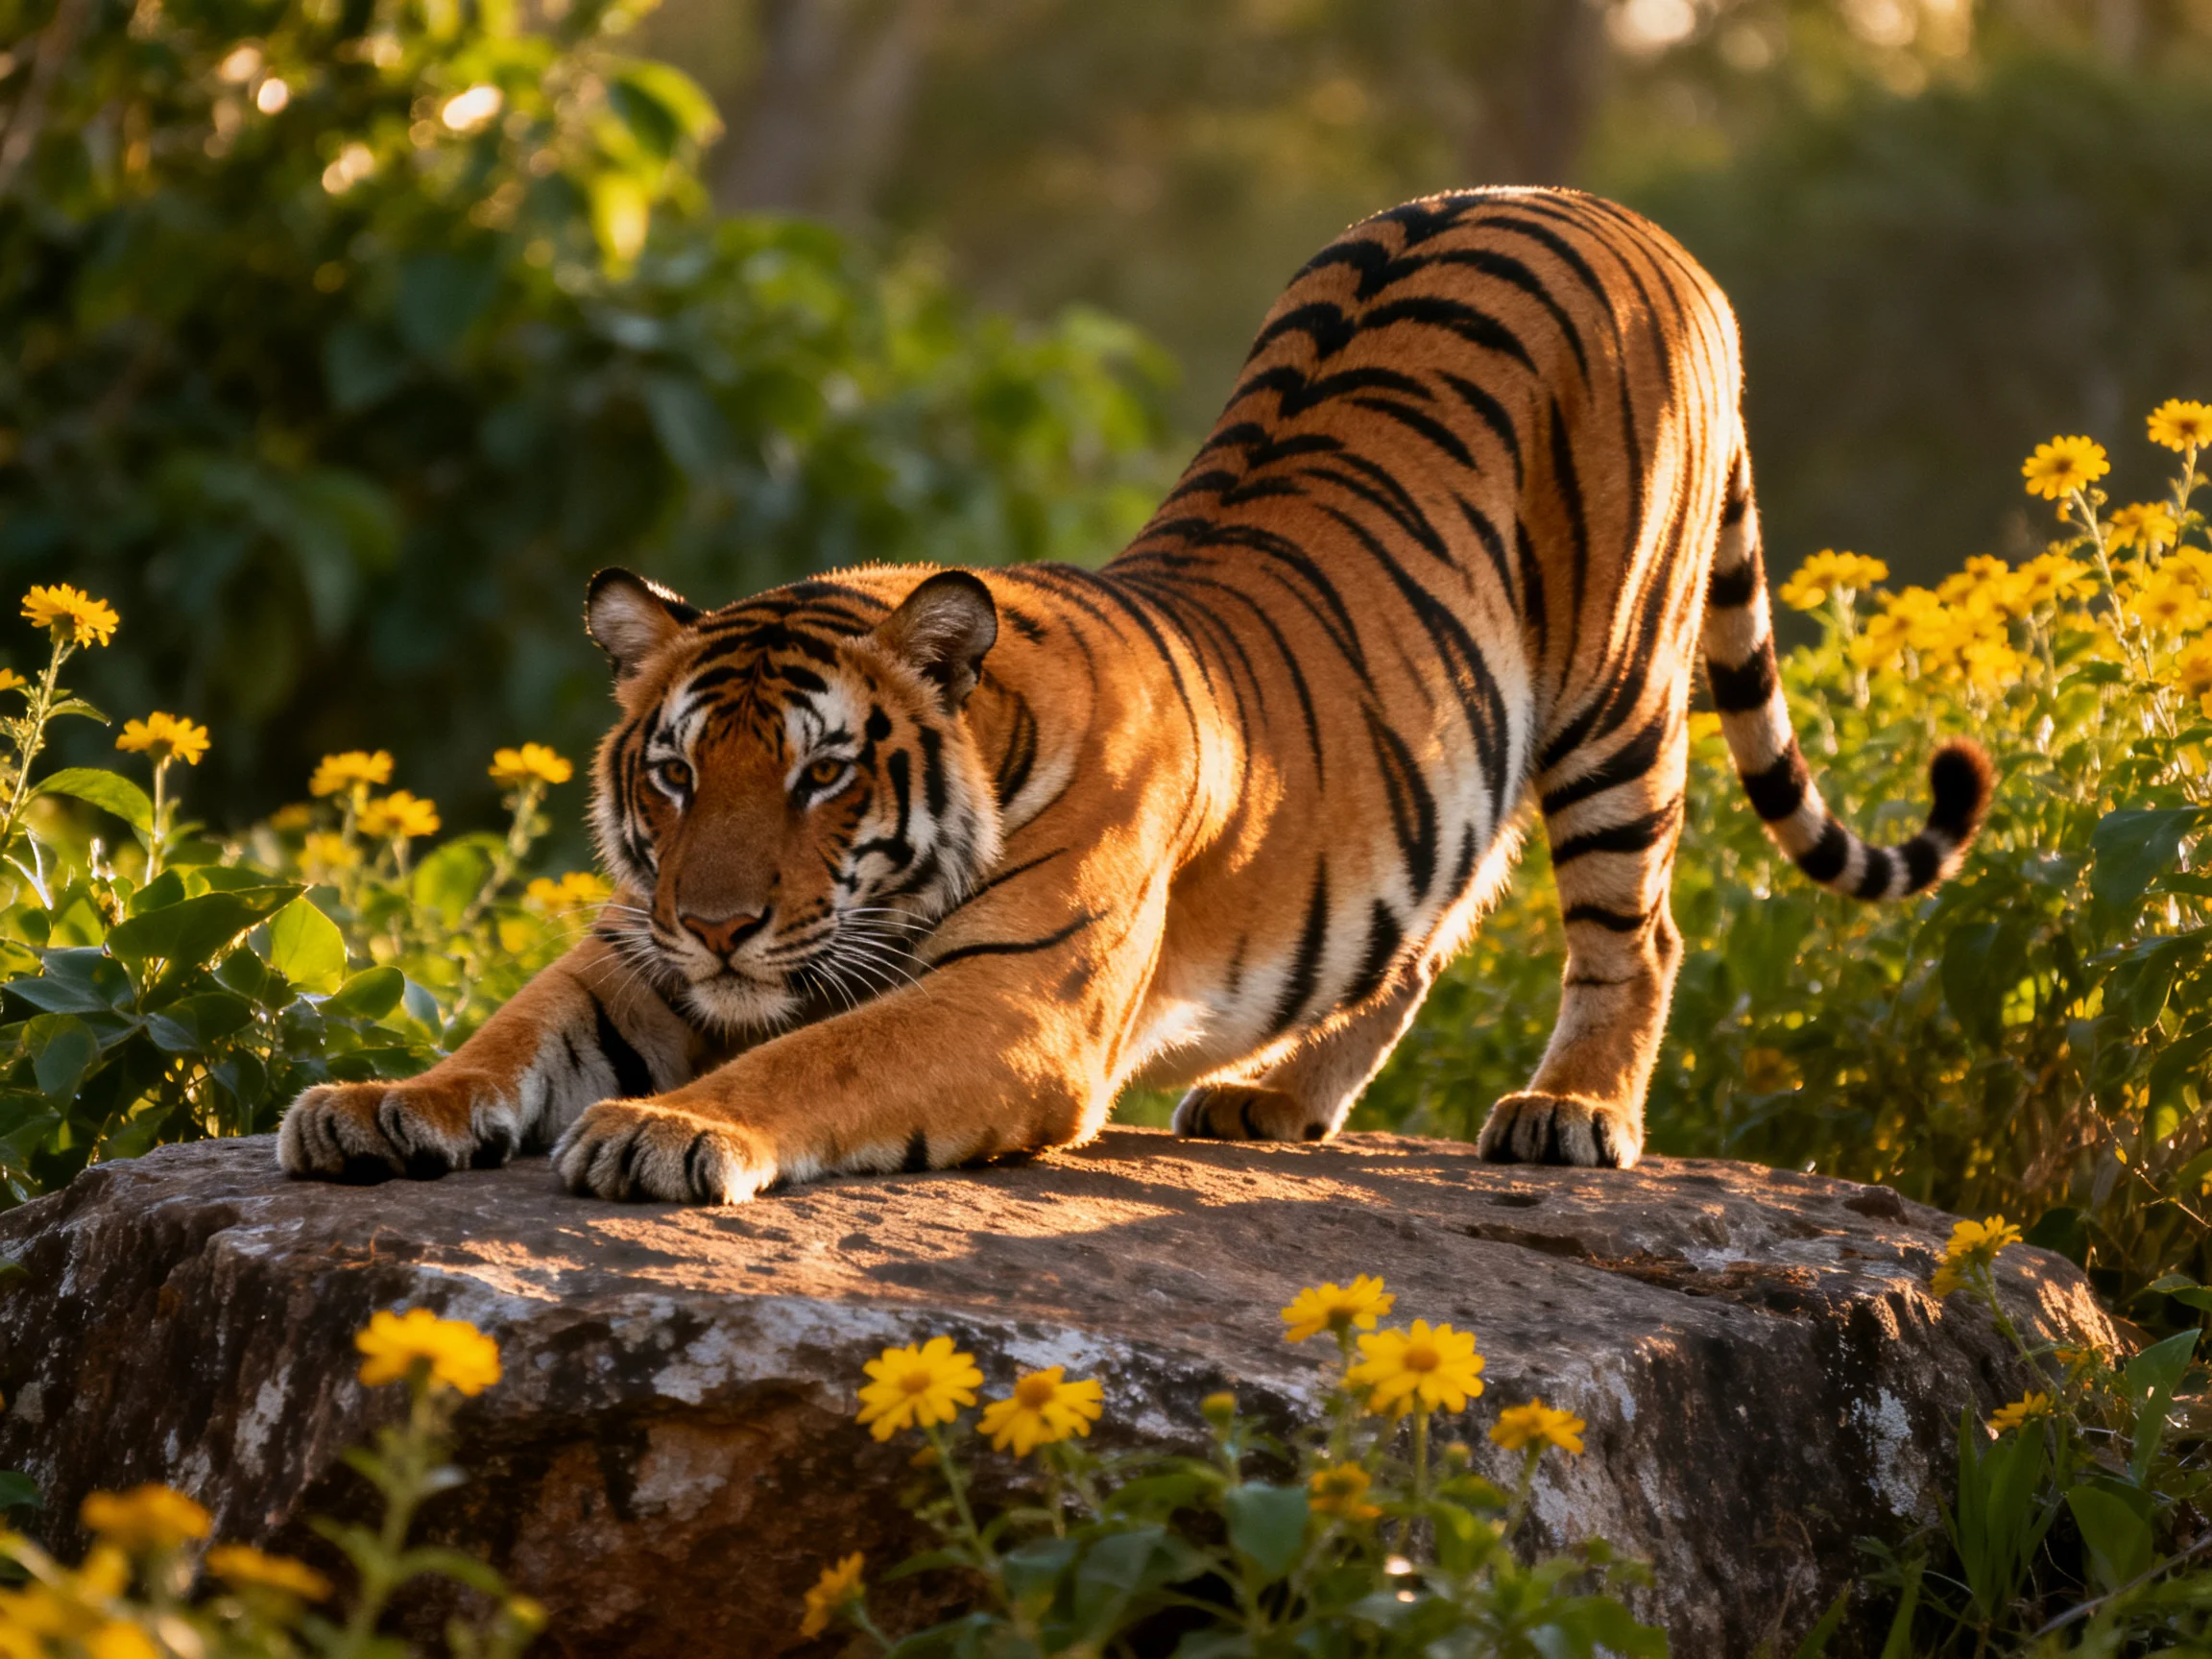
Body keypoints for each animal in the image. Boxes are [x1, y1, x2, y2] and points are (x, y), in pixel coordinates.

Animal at [277, 186, 1992, 1202]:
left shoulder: (1013, 1002)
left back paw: (1570, 1113)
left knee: (1637, 928)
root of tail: (1608, 205)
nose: (718, 924)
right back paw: (1273, 1100)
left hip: (1617, 691)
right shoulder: (640, 948)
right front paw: (376, 1102)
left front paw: (665, 1129)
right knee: (1423, 931)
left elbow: (812, 1058)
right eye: (677, 774)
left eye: (825, 774)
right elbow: (515, 1029)